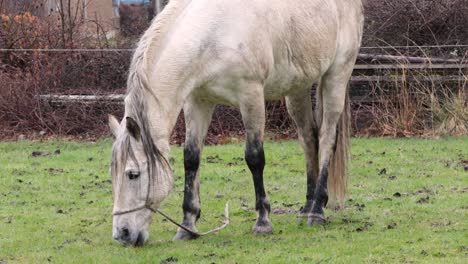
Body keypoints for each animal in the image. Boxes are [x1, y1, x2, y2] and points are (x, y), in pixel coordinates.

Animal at [109, 0, 362, 246]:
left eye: (133, 174)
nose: (122, 234)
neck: (212, 32)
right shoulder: (198, 101)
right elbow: (191, 158)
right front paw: (187, 226)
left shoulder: (251, 96)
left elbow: (255, 158)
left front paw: (263, 222)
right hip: (298, 87)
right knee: (309, 139)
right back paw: (307, 207)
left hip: (336, 76)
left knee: (327, 138)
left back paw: (317, 211)